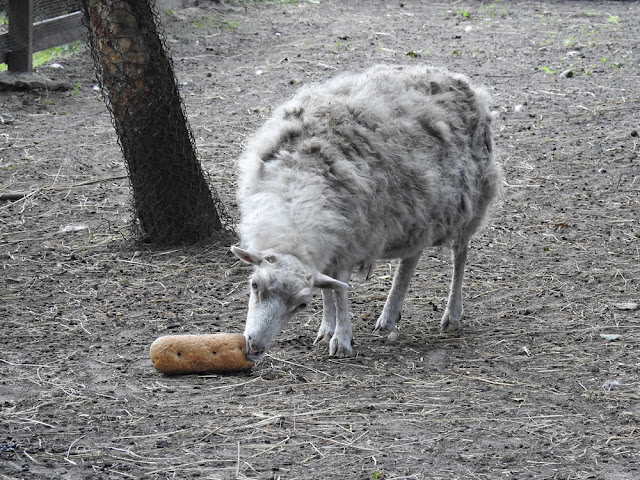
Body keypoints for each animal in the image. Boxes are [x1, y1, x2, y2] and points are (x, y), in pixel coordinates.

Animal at [232, 64, 502, 360]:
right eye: (254, 285)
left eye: (302, 304)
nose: (254, 347)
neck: (296, 192)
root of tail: (459, 79)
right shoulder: (332, 242)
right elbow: (328, 288)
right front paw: (326, 327)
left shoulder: (350, 239)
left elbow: (340, 290)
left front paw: (341, 338)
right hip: (418, 210)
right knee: (411, 257)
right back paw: (390, 315)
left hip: (471, 204)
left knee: (460, 256)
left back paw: (452, 314)